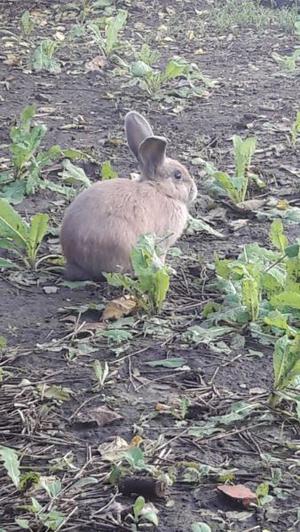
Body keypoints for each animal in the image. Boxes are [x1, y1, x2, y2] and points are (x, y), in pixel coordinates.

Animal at [60, 110, 197, 280]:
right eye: (178, 175)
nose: (194, 190)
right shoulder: (161, 243)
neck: (161, 190)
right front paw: (167, 270)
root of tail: (75, 261)